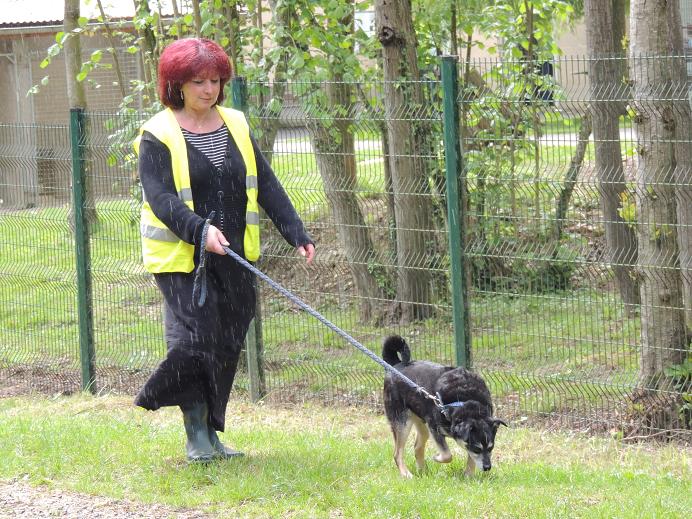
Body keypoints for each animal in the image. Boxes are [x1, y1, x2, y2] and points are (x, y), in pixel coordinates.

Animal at [382, 338, 506, 480]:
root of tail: (396, 365)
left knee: (417, 447)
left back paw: (424, 472)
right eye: (477, 449)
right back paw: (406, 474)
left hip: (421, 421)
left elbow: (470, 460)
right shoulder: (435, 428)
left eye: (491, 448)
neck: (464, 402)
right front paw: (437, 457)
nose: (487, 468)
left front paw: (468, 476)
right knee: (397, 453)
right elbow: (448, 455)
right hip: (402, 422)